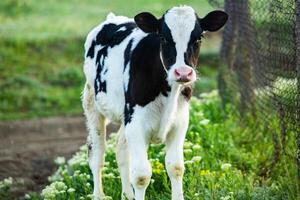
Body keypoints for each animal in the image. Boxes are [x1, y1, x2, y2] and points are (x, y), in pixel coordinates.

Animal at [82, 5, 227, 199]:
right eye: (163, 37)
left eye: (198, 38)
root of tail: (112, 19)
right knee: (97, 154)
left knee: (121, 149)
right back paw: (99, 194)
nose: (183, 73)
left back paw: (127, 195)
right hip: (92, 101)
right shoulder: (136, 124)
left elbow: (176, 167)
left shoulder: (179, 123)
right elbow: (141, 175)